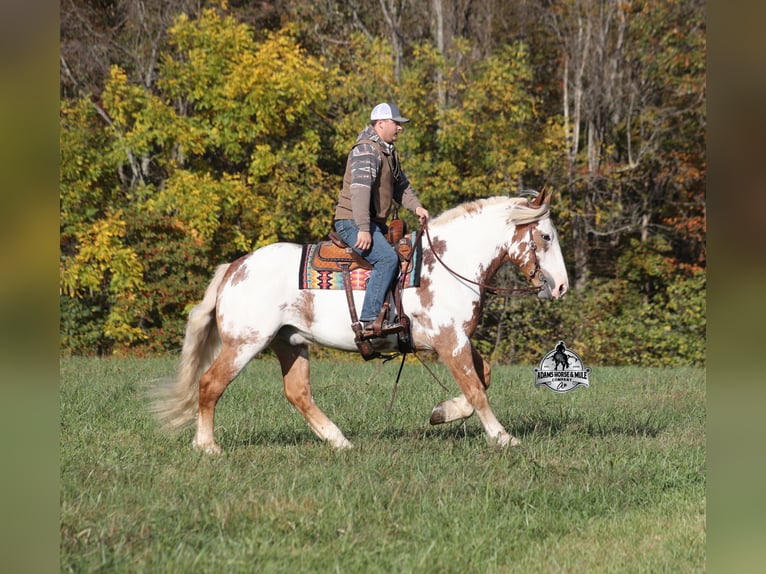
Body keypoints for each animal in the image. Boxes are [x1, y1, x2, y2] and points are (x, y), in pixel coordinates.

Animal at [151, 189, 569, 452]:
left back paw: (339, 441)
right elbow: (476, 389)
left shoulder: (456, 339)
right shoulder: (449, 340)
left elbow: (484, 378)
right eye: (546, 237)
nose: (561, 286)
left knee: (298, 393)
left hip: (290, 343)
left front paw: (441, 413)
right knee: (209, 384)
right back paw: (207, 446)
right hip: (245, 343)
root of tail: (235, 267)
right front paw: (502, 437)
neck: (446, 264)